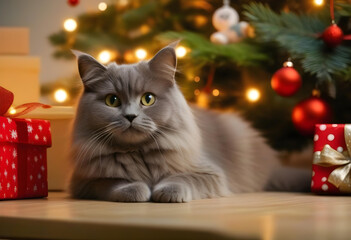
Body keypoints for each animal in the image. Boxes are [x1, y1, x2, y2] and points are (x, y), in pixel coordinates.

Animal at [69, 42, 310, 202]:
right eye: (112, 101)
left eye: (148, 99)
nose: (130, 116)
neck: (139, 153)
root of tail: (273, 164)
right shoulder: (83, 182)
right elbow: (114, 182)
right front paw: (138, 189)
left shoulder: (211, 174)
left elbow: (183, 179)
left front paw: (165, 192)